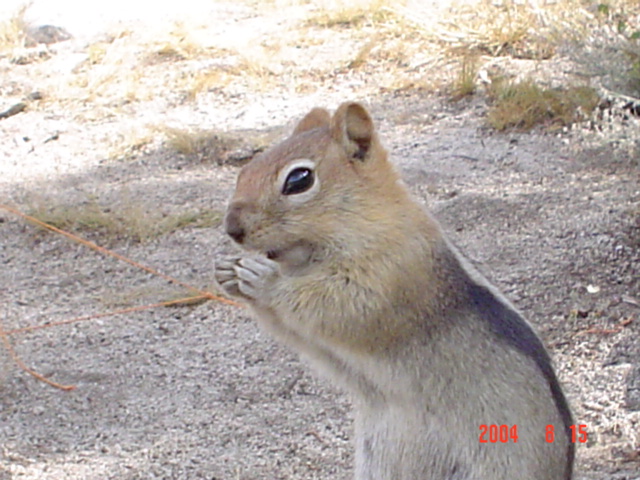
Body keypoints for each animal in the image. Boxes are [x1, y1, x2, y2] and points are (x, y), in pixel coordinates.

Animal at [215, 102, 576, 480]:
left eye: (299, 179)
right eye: (244, 170)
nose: (232, 228)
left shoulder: (391, 273)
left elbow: (335, 305)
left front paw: (262, 278)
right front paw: (227, 272)